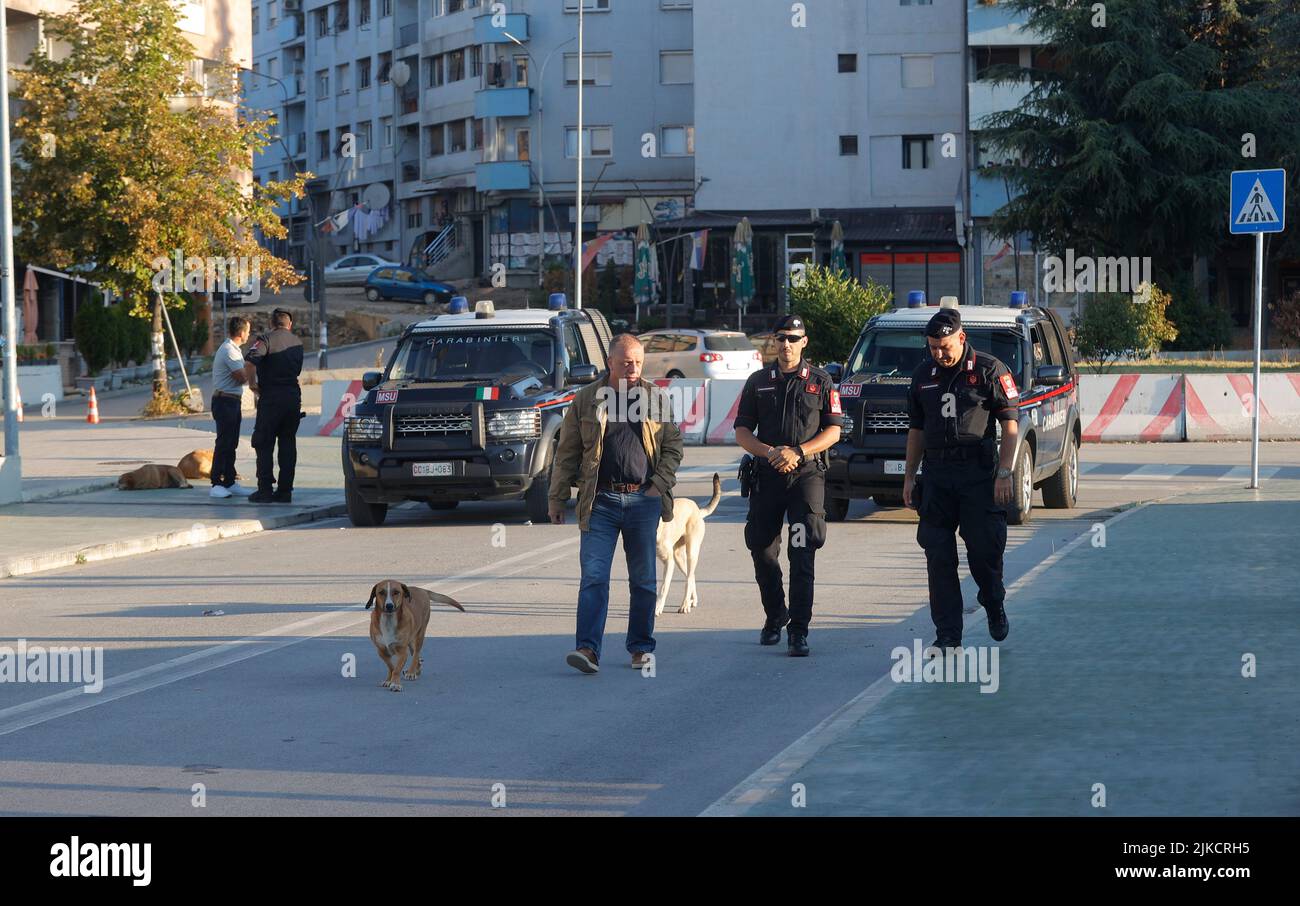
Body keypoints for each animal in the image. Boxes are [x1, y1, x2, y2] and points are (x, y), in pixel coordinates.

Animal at [660, 473, 722, 616]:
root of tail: (697, 509)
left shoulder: (668, 562)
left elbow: (663, 588)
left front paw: (657, 608)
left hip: (691, 552)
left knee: (688, 579)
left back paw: (685, 605)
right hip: (679, 557)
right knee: (691, 575)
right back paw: (691, 601)